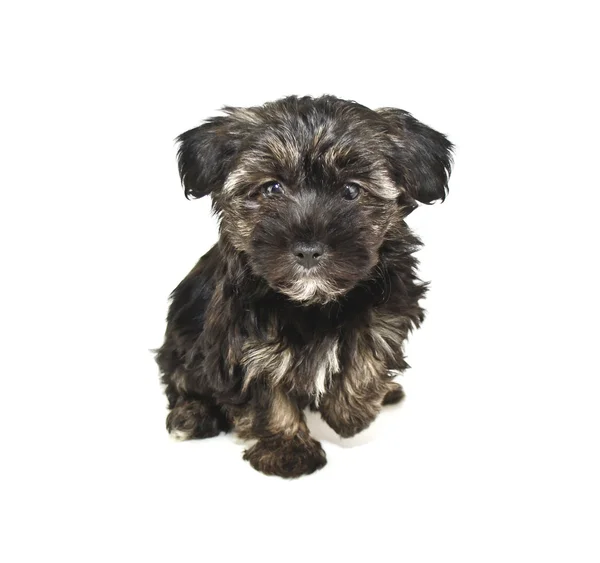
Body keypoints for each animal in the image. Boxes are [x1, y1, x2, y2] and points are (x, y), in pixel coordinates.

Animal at [157, 94, 452, 478]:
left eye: (351, 190)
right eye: (272, 188)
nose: (309, 250)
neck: (313, 303)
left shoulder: (393, 302)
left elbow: (369, 346)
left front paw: (349, 413)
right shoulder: (243, 340)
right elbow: (266, 390)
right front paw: (287, 448)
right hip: (178, 342)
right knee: (181, 382)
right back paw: (191, 415)